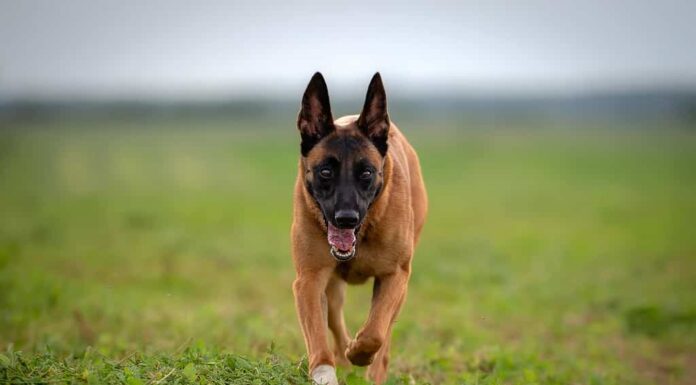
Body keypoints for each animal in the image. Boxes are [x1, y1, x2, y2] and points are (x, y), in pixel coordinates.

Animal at [290, 73, 430, 384]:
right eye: (325, 172)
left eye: (365, 172)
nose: (346, 218)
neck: (364, 233)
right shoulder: (309, 279)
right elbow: (318, 337)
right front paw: (326, 371)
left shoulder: (395, 275)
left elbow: (376, 332)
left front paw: (360, 353)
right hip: (332, 288)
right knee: (334, 320)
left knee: (384, 334)